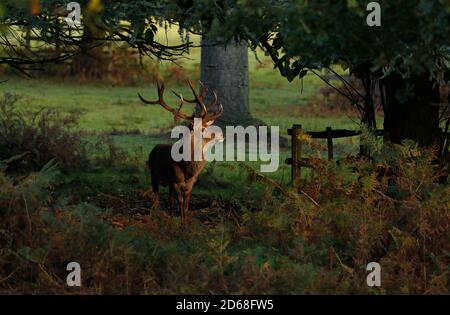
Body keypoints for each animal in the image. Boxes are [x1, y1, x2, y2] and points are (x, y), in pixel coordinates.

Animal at [136, 81, 222, 225]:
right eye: (202, 129)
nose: (222, 135)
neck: (187, 167)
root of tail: (154, 148)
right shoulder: (175, 180)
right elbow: (180, 202)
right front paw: (181, 223)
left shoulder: (191, 182)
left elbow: (186, 204)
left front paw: (185, 221)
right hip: (154, 174)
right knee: (156, 196)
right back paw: (156, 216)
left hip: (168, 182)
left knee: (169, 199)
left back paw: (170, 216)